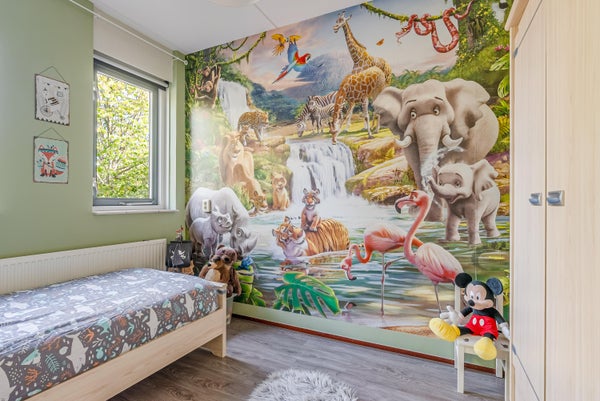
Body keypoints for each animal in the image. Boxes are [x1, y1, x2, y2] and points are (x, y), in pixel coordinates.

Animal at [372, 78, 499, 221]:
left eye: (437, 111)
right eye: (412, 114)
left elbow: (449, 160)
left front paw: (439, 216)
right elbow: (415, 163)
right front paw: (421, 215)